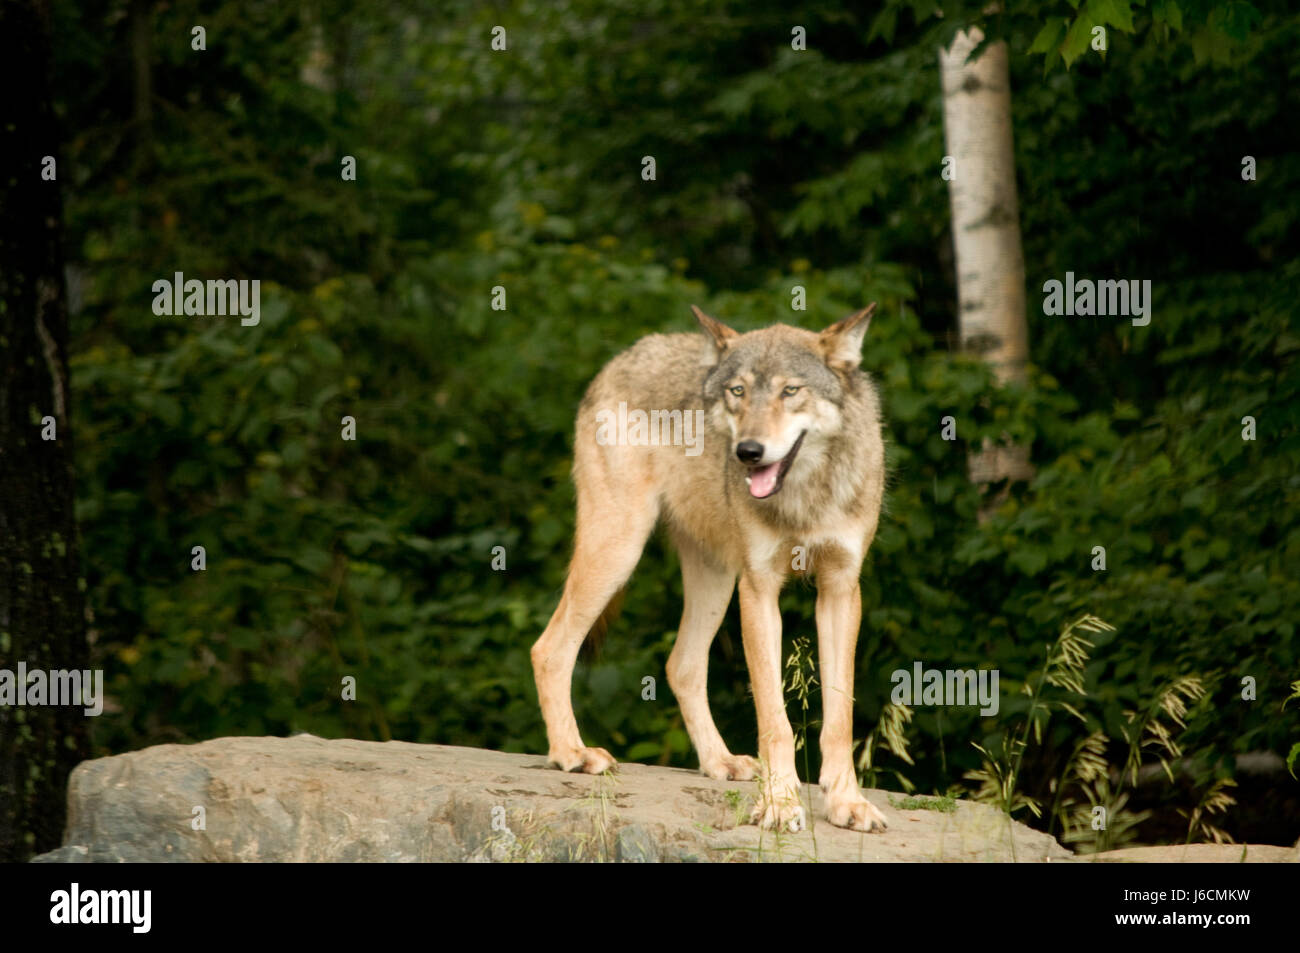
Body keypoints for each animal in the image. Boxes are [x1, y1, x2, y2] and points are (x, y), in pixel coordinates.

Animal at [525, 306, 883, 832]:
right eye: (737, 391)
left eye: (789, 391)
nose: (748, 451)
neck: (804, 497)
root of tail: (624, 356)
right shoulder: (759, 589)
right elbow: (774, 720)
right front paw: (780, 804)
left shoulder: (841, 589)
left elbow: (840, 719)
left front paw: (846, 803)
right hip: (620, 550)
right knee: (549, 649)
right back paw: (571, 753)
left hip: (713, 578)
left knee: (682, 665)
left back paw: (720, 762)